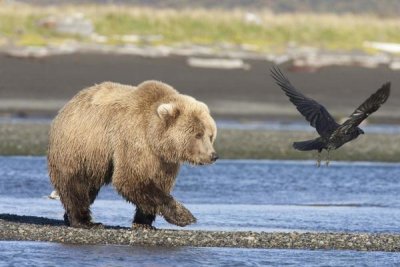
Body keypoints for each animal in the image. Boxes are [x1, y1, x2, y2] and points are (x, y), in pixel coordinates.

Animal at [48, 80, 220, 229]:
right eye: (198, 134)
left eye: (210, 135)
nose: (213, 155)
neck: (154, 138)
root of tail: (68, 104)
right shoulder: (133, 141)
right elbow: (130, 179)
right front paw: (185, 216)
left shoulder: (162, 161)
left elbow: (157, 182)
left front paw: (144, 222)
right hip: (80, 146)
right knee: (76, 183)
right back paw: (85, 221)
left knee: (89, 187)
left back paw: (69, 217)